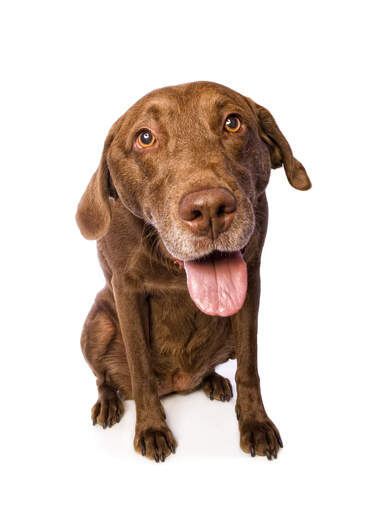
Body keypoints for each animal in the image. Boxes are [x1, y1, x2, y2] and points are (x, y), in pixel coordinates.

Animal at [75, 80, 310, 460]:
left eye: (233, 123)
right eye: (145, 137)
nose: (210, 208)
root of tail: (178, 385)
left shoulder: (251, 278)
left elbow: (249, 365)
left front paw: (255, 422)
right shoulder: (126, 290)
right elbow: (140, 366)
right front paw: (152, 428)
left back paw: (213, 380)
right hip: (97, 324)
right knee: (104, 379)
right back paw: (108, 404)